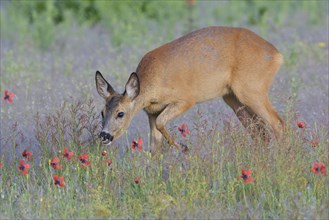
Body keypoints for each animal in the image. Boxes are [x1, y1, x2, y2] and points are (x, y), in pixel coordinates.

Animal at [94, 26, 282, 153]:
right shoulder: (152, 113)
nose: (104, 136)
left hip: (252, 89)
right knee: (260, 133)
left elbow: (162, 122)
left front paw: (183, 147)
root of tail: (277, 55)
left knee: (278, 124)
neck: (152, 83)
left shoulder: (186, 98)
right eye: (102, 112)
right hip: (233, 97)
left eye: (121, 113)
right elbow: (154, 149)